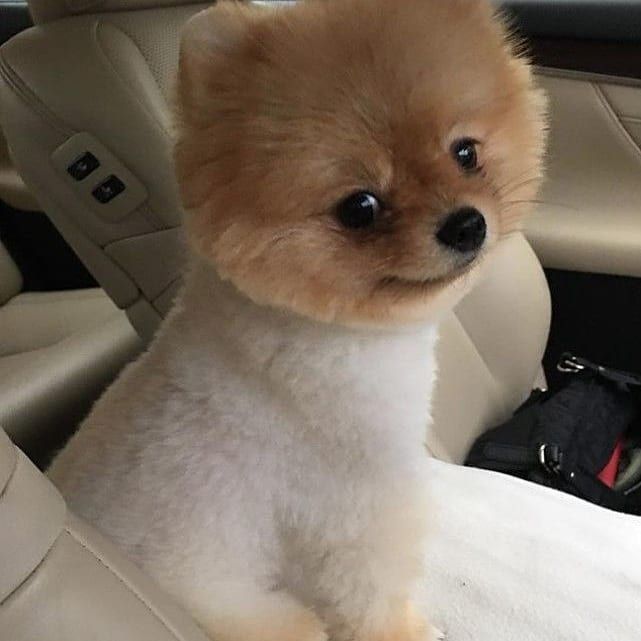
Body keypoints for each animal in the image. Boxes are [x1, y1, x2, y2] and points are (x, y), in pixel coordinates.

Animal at [47, 1, 544, 640]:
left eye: (465, 152)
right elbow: (370, 588)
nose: (466, 225)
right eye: (361, 207)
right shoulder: (352, 503)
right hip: (251, 610)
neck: (318, 330)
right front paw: (404, 630)